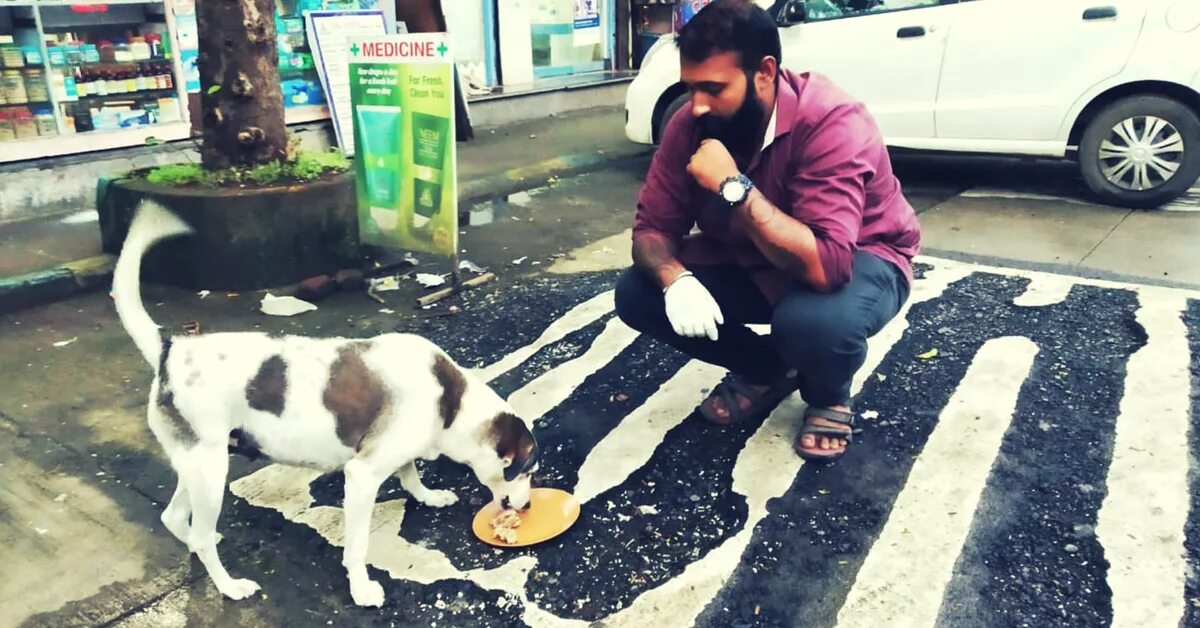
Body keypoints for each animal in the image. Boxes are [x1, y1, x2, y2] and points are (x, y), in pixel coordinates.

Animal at [110, 204, 542, 607]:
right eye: (526, 471)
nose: (527, 506)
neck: (450, 402)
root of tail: (169, 350)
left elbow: (409, 470)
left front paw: (427, 495)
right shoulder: (362, 475)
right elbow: (357, 545)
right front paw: (361, 588)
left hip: (198, 463)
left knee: (174, 517)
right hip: (210, 470)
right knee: (198, 534)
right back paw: (229, 585)